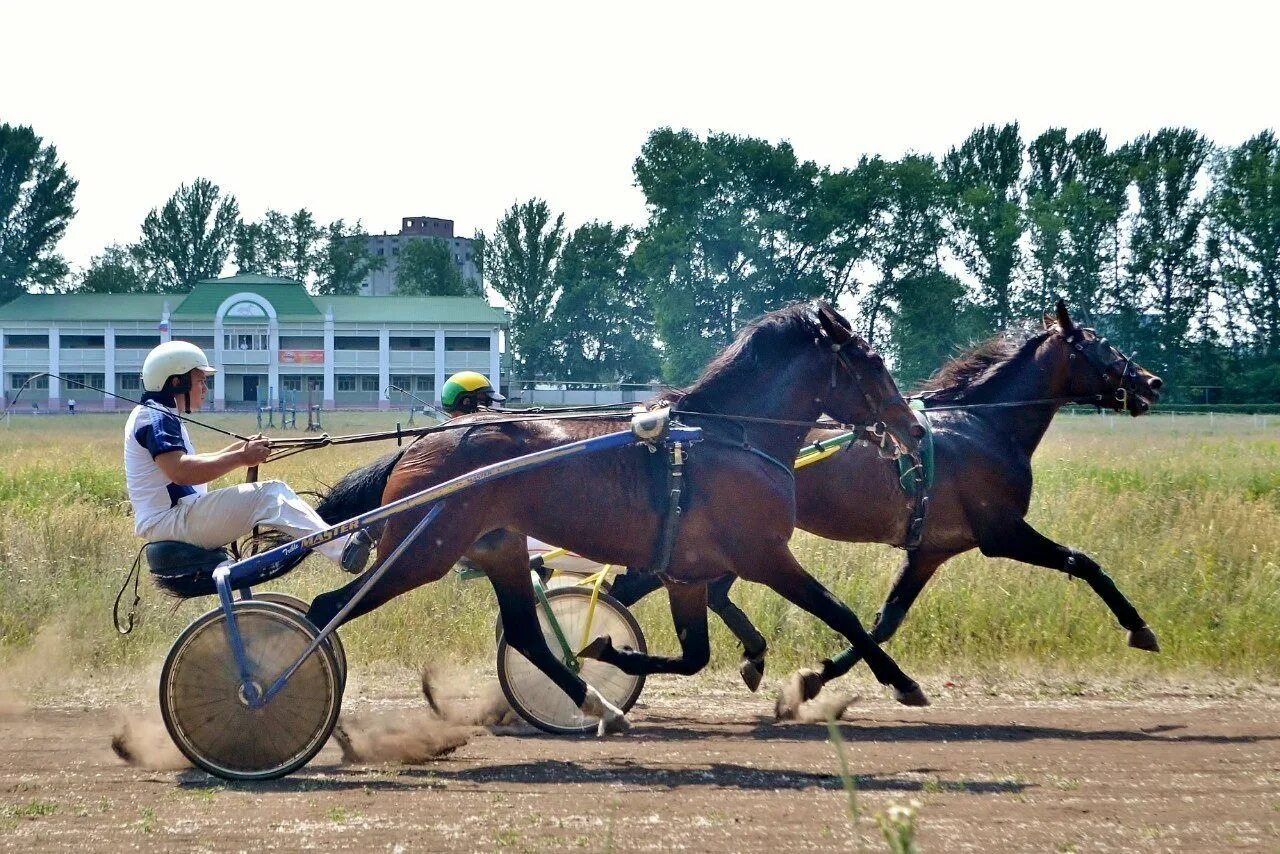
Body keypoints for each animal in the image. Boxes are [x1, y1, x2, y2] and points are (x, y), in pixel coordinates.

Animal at [309, 300, 931, 727]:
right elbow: (840, 612)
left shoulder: (687, 572)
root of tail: (419, 443)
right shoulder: (764, 555)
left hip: (498, 545)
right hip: (422, 549)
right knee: (326, 608)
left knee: (527, 634)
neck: (730, 435)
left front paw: (612, 650)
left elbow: (696, 654)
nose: (916, 427)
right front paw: (901, 682)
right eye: (873, 361)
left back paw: (595, 701)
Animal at [604, 300, 1167, 717]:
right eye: (1102, 347)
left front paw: (815, 679)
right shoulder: (1001, 532)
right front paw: (1140, 627)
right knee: (640, 587)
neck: (984, 428)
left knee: (689, 590)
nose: (1151, 382)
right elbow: (1083, 561)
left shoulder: (931, 549)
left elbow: (885, 620)